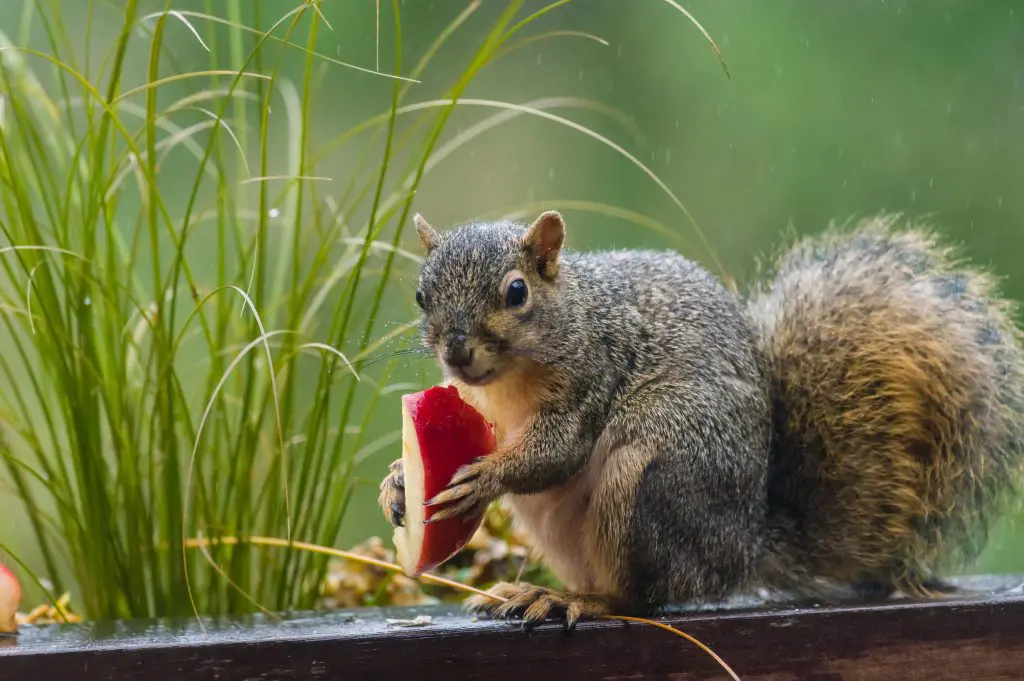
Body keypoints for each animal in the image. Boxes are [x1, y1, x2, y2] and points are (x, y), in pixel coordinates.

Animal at [376, 208, 1024, 626]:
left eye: (516, 292)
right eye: (422, 296)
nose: (456, 351)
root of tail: (744, 547)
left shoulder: (593, 376)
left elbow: (554, 452)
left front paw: (485, 476)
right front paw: (400, 481)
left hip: (650, 479)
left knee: (643, 597)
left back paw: (578, 601)